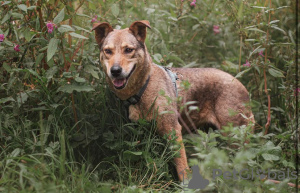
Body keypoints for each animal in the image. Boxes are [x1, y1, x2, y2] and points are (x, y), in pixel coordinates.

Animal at [92, 20, 254, 182]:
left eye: (128, 50)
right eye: (108, 51)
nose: (115, 71)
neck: (144, 87)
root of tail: (242, 86)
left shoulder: (173, 130)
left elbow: (182, 165)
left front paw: (186, 183)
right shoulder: (141, 132)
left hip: (234, 136)